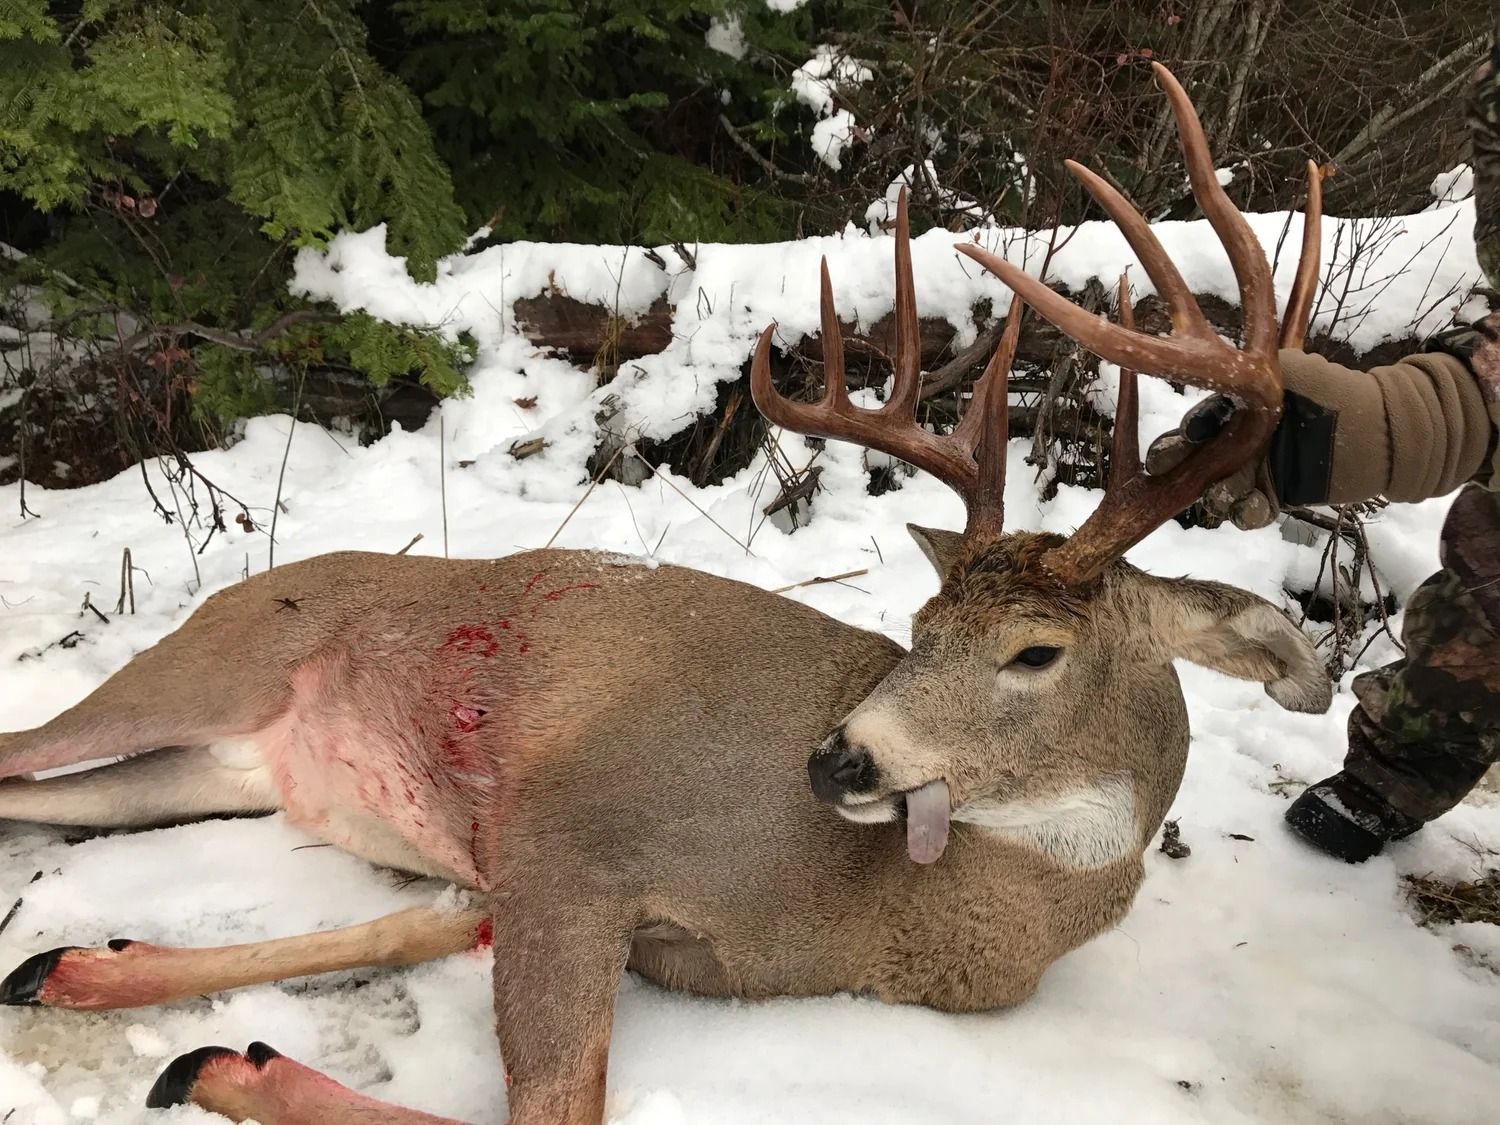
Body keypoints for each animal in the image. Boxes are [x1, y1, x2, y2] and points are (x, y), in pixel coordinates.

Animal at [0, 65, 1329, 1125]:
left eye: (1035, 651)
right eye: (918, 626)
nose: (836, 758)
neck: (881, 909)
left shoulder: (577, 901)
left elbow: (435, 935)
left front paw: (168, 1019)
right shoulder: (574, 828)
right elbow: (552, 1104)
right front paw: (221, 1061)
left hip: (222, 765)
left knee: (49, 798)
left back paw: (62, 967)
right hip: (206, 664)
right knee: (28, 748)